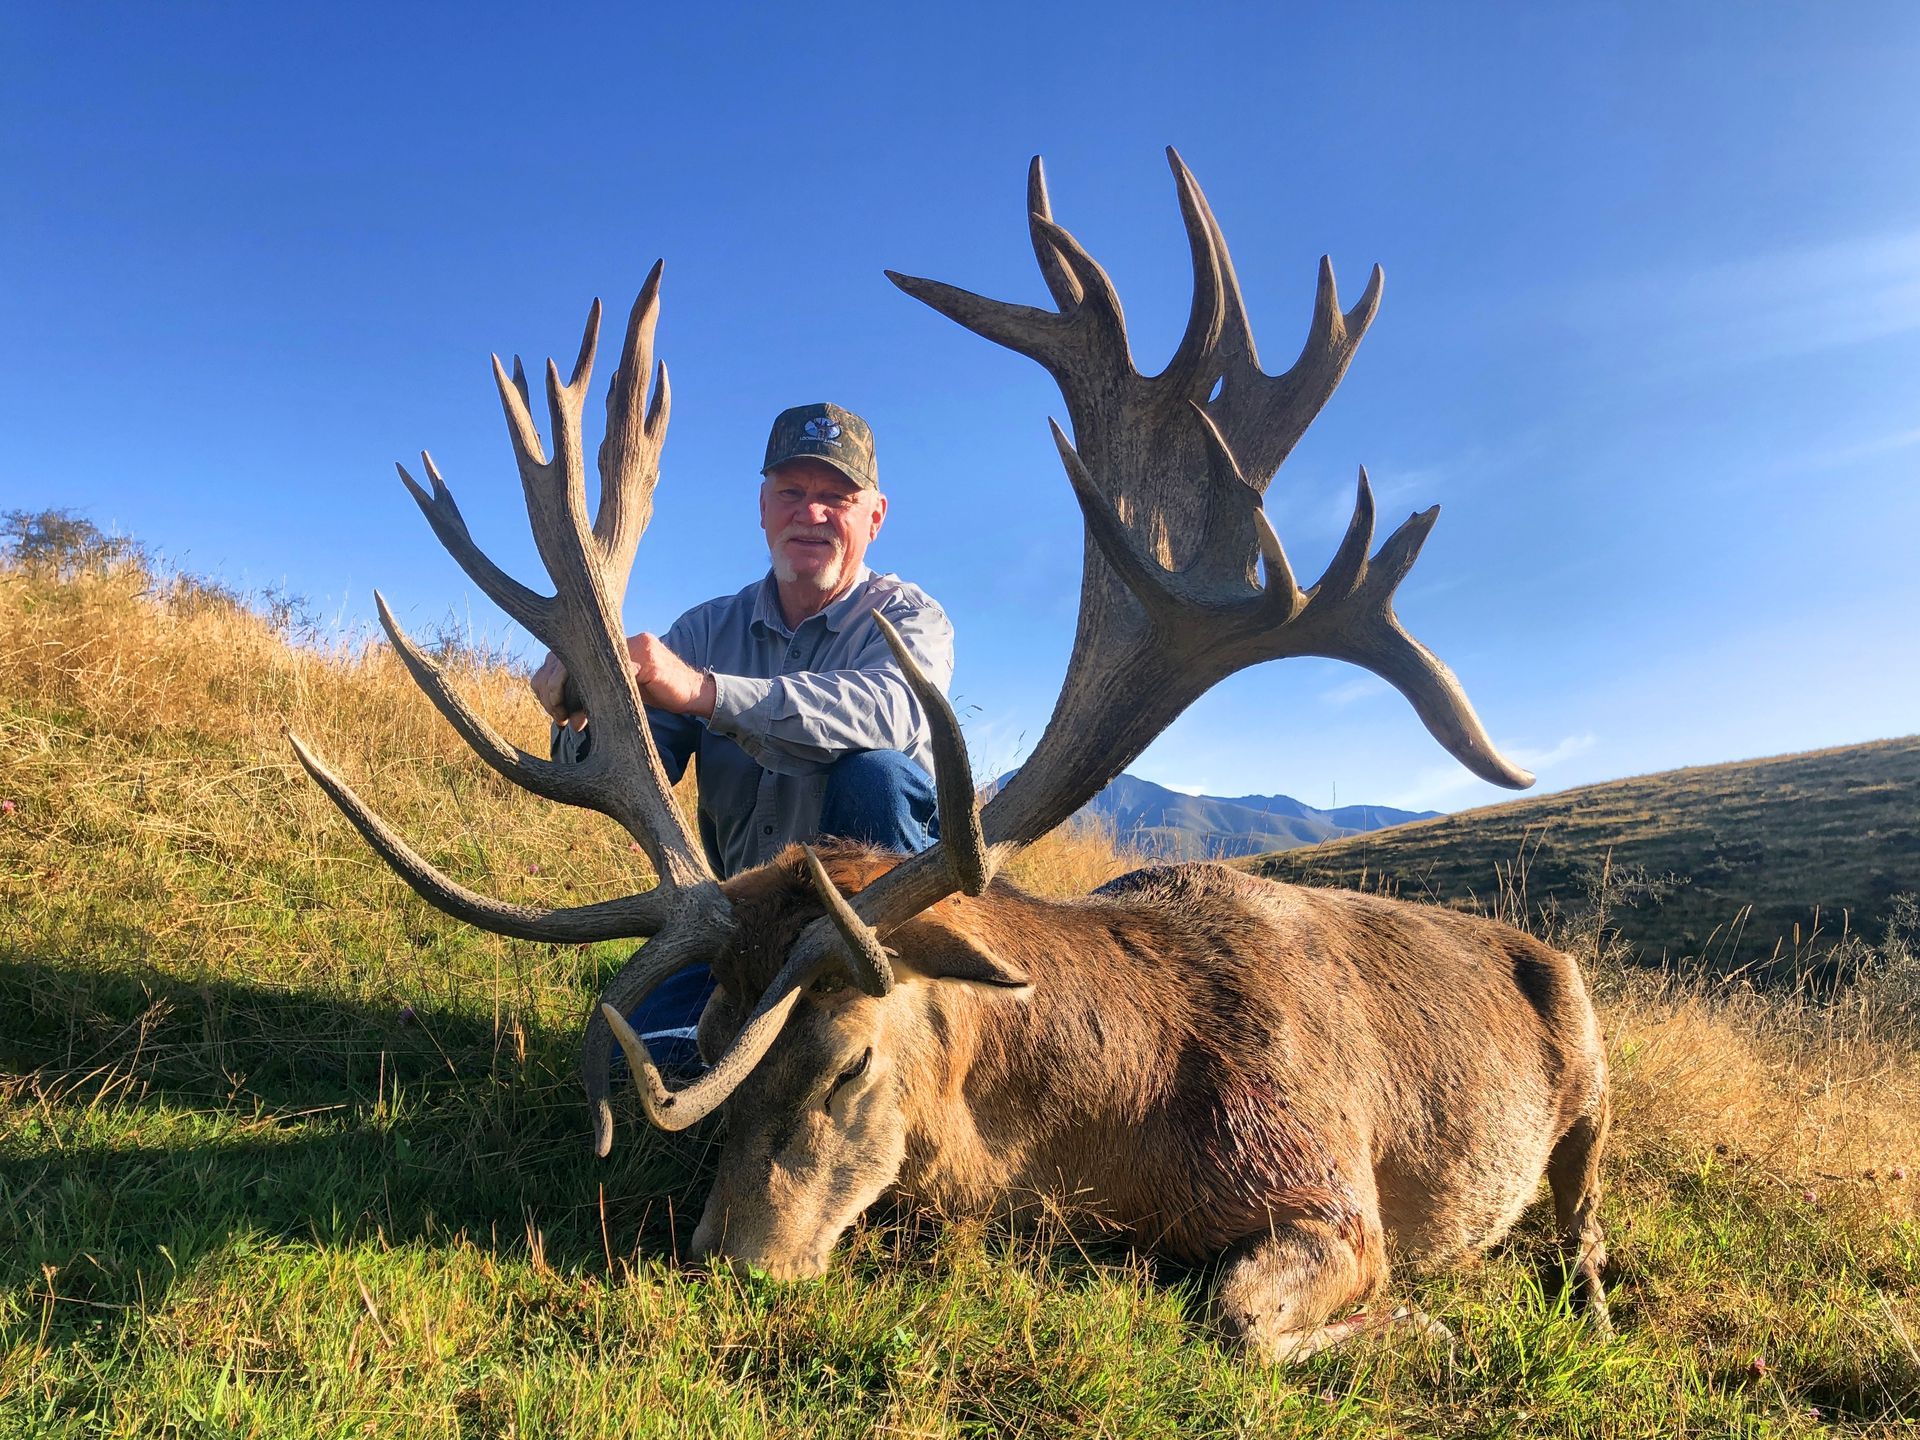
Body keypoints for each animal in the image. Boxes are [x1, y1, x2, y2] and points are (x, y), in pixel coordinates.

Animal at [289, 149, 1610, 1363]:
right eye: (707, 1041)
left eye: (848, 1067)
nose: (727, 1262)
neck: (1116, 1129)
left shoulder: (1328, 1177)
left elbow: (1238, 1318)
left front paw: (1423, 1325)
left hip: (1592, 1062)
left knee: (1583, 1209)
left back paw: (1581, 1290)